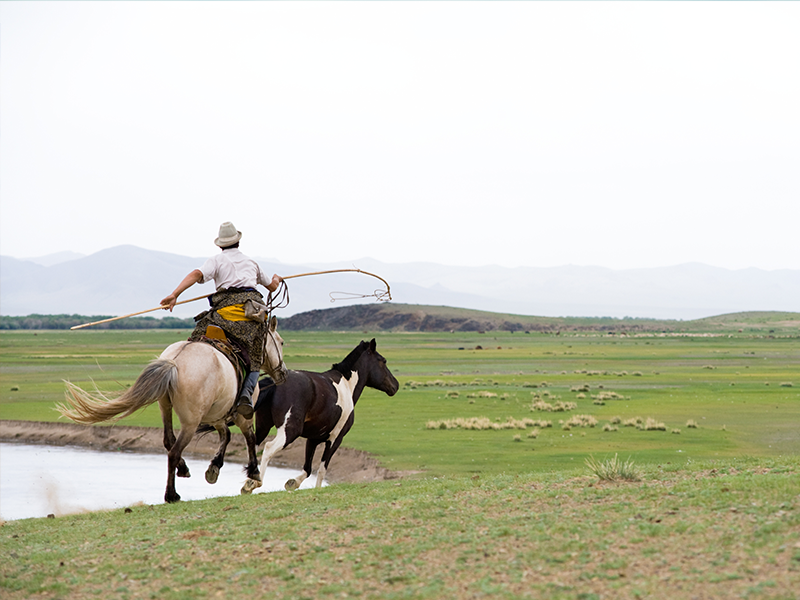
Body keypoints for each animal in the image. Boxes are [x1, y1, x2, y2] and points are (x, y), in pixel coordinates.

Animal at [57, 316, 288, 504]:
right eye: (281, 342)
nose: (283, 373)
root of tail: (174, 362)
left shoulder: (217, 415)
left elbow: (227, 435)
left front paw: (214, 468)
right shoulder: (241, 414)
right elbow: (249, 437)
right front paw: (253, 473)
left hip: (165, 408)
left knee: (169, 441)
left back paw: (183, 470)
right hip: (191, 422)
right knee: (174, 450)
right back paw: (172, 494)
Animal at [239, 338, 398, 492]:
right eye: (383, 361)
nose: (395, 385)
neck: (347, 386)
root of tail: (275, 382)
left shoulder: (313, 439)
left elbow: (308, 469)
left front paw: (292, 483)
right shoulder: (335, 440)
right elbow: (322, 470)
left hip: (263, 427)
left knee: (254, 446)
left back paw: (248, 483)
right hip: (289, 431)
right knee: (268, 448)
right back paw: (254, 482)